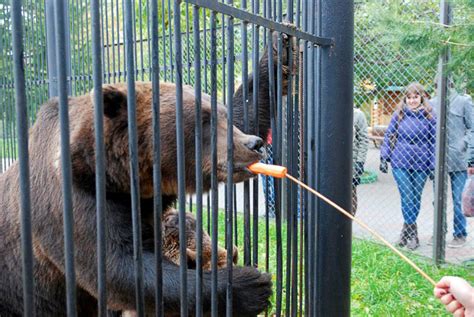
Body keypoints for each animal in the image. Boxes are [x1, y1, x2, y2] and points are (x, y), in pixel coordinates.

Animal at [0, 82, 270, 316]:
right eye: (204, 120)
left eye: (223, 116)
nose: (254, 144)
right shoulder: (71, 202)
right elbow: (118, 270)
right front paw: (249, 284)